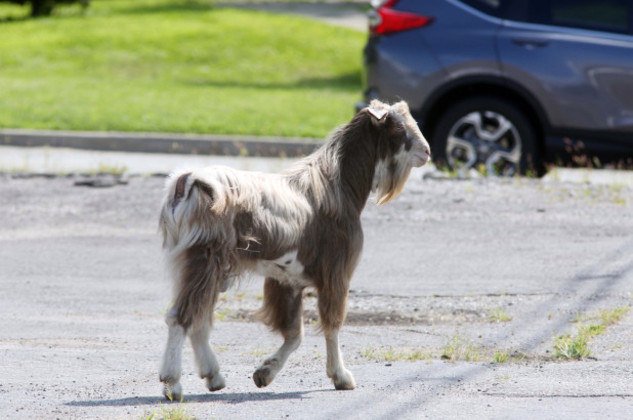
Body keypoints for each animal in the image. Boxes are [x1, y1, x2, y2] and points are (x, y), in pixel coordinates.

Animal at [158, 100, 432, 398]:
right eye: (397, 128)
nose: (427, 152)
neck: (337, 187)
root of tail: (187, 181)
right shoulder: (336, 272)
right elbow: (332, 323)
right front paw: (341, 376)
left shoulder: (286, 280)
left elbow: (294, 334)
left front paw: (264, 373)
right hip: (204, 259)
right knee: (181, 317)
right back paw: (173, 383)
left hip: (207, 268)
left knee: (199, 320)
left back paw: (214, 376)